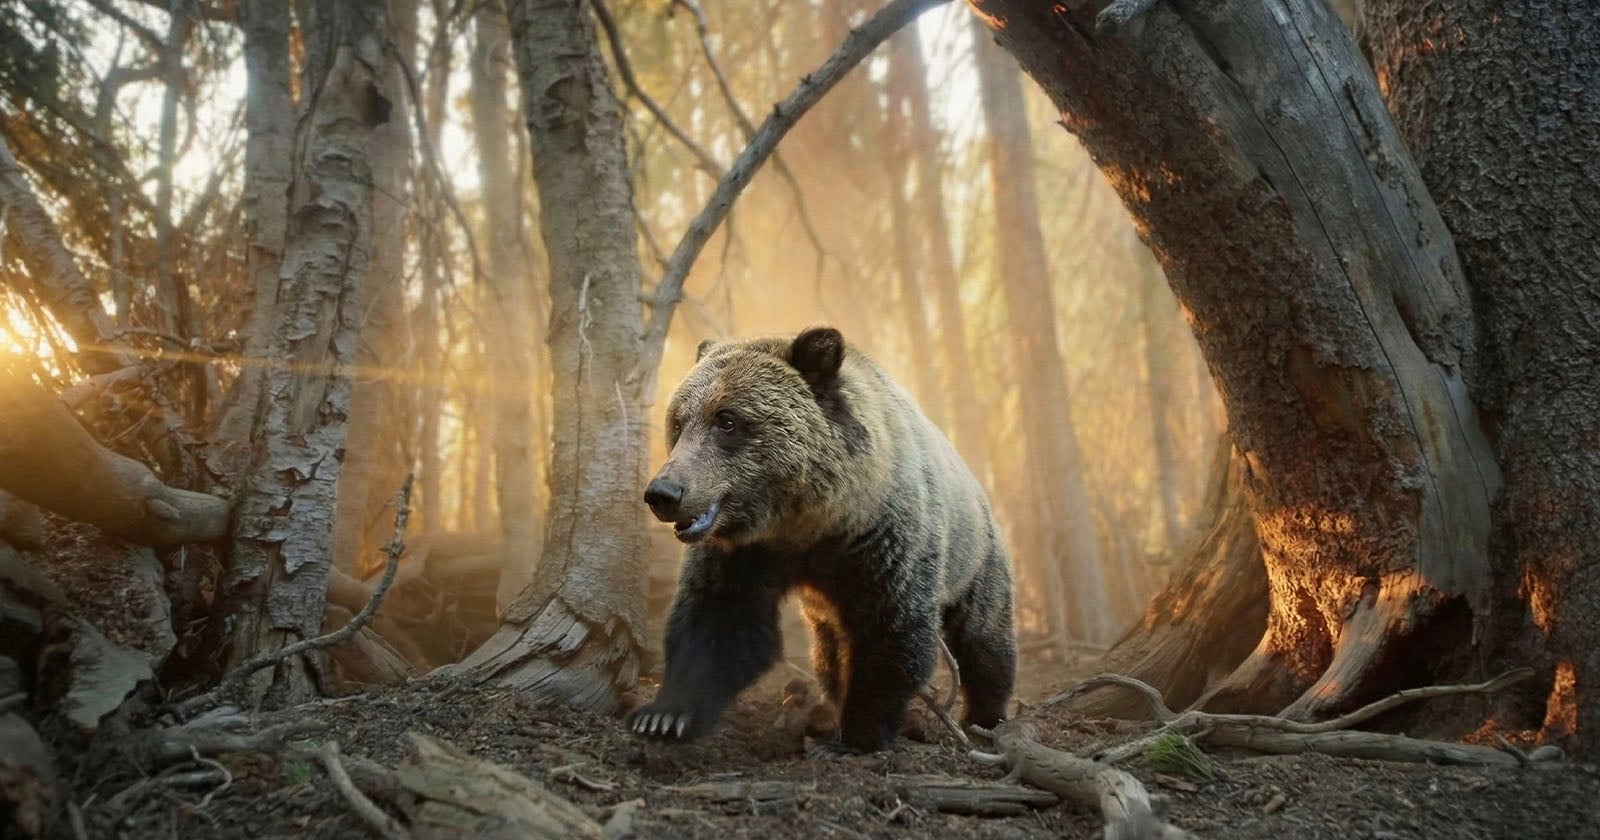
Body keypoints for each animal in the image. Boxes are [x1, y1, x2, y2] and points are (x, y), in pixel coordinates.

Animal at [626, 326, 1016, 754]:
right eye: (678, 423)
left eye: (727, 420)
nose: (664, 493)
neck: (809, 519)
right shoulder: (744, 552)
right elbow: (719, 617)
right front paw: (664, 716)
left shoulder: (882, 541)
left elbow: (891, 628)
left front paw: (853, 736)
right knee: (829, 651)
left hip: (975, 559)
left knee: (983, 638)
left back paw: (985, 716)